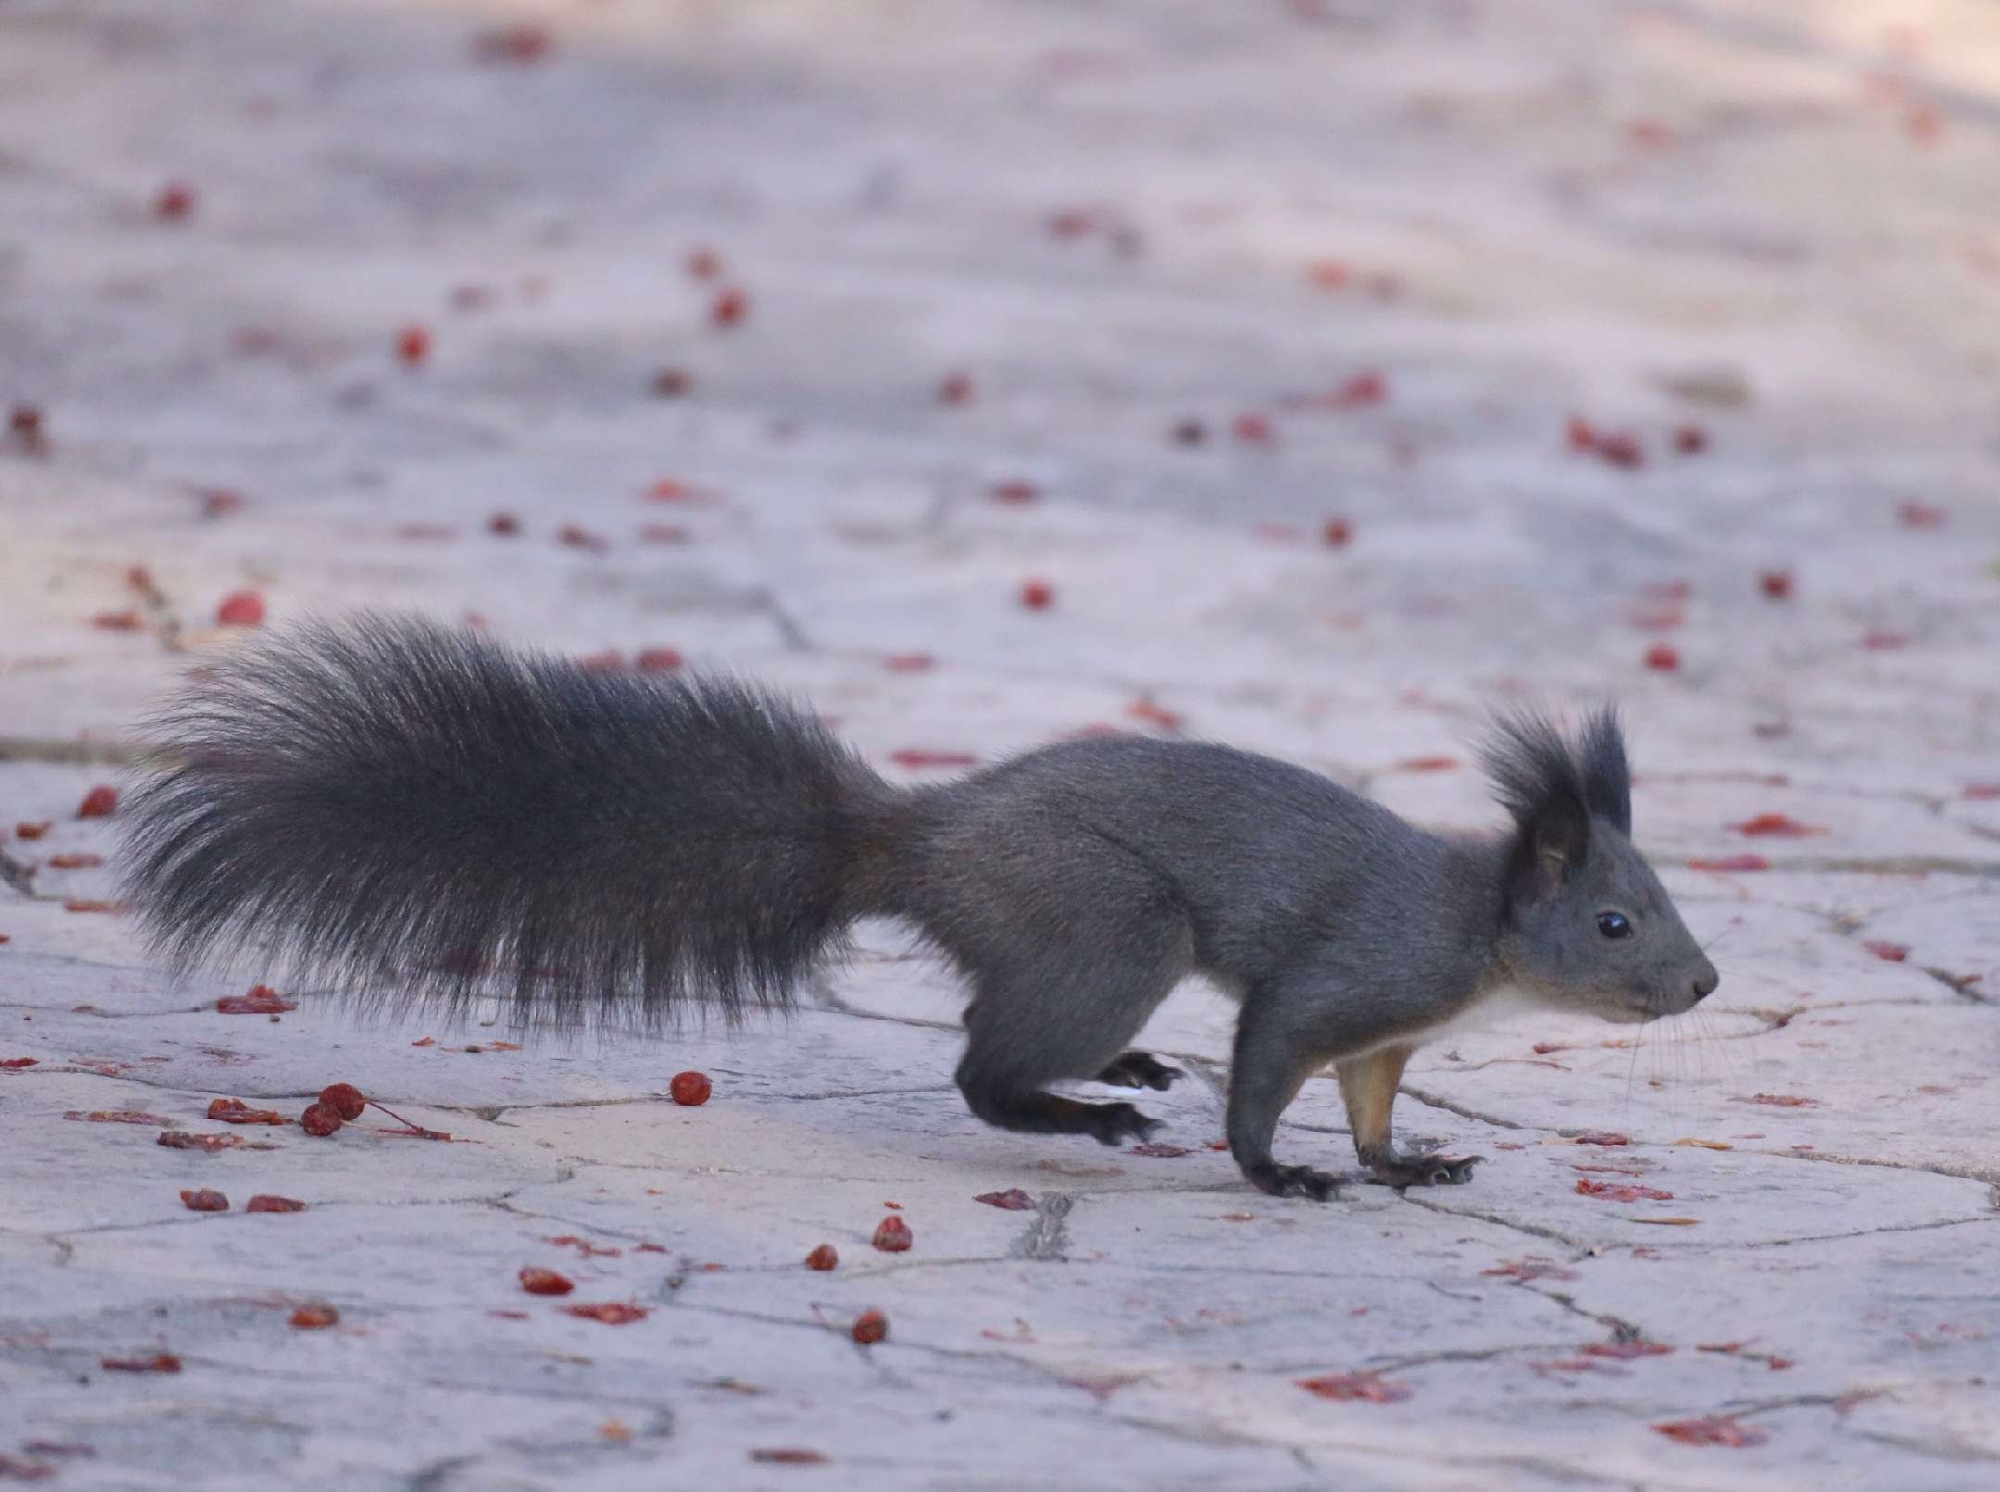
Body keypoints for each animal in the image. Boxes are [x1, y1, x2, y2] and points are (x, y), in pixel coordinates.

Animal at [121, 612, 1720, 1200]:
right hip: (1111, 923)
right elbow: (1270, 1068)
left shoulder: (1390, 1035)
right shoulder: (1342, 977)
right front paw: (1283, 1177)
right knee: (976, 1068)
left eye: (1659, 900)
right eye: (1616, 924)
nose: (1704, 988)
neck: (1477, 939)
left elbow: (1377, 1101)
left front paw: (1405, 1166)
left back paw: (1119, 1076)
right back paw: (1095, 1110)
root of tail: (918, 843)